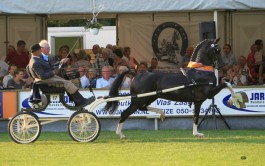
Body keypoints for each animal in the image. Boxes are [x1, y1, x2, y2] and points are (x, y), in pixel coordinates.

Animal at [102, 38, 241, 138]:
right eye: (217, 49)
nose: (221, 65)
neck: (200, 71)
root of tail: (136, 74)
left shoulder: (198, 101)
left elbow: (195, 117)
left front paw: (196, 133)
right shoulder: (209, 94)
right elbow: (226, 84)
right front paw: (232, 100)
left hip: (150, 97)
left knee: (142, 108)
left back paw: (161, 113)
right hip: (139, 99)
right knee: (125, 113)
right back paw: (120, 134)